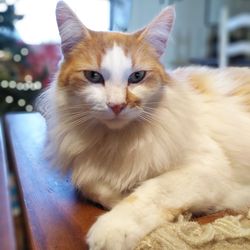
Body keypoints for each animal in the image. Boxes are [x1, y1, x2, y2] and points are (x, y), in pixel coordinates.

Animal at [41, 0, 250, 249]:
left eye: (137, 77)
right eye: (93, 77)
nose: (117, 105)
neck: (117, 142)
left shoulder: (206, 166)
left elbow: (150, 191)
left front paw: (112, 228)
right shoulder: (87, 171)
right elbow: (94, 187)